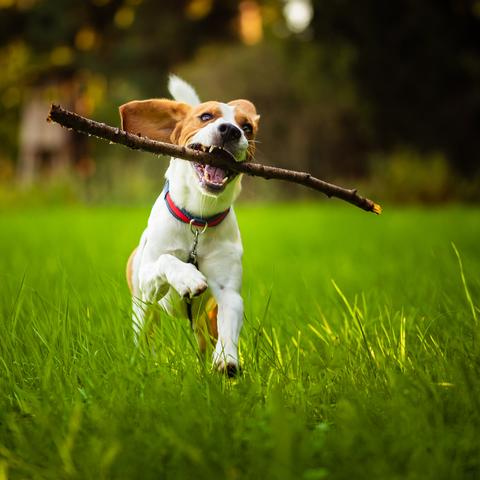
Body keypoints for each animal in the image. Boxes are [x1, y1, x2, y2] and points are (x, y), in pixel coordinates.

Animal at [123, 76, 258, 376]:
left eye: (247, 127)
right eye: (205, 116)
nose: (231, 131)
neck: (198, 218)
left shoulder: (228, 291)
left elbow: (230, 317)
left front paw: (227, 359)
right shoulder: (149, 279)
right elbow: (166, 261)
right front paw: (187, 277)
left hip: (203, 321)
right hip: (143, 310)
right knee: (145, 334)